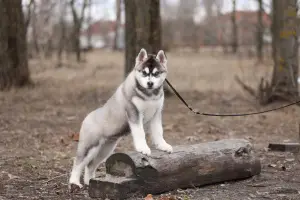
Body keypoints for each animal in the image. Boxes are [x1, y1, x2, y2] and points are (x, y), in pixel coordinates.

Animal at [68, 48, 171, 188]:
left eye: (156, 73)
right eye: (144, 73)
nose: (150, 83)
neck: (149, 95)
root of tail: (87, 117)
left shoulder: (156, 114)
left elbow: (158, 132)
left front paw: (163, 146)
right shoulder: (134, 113)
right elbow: (140, 132)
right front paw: (143, 148)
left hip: (106, 149)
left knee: (91, 165)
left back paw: (90, 181)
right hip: (89, 146)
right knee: (78, 162)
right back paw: (74, 182)